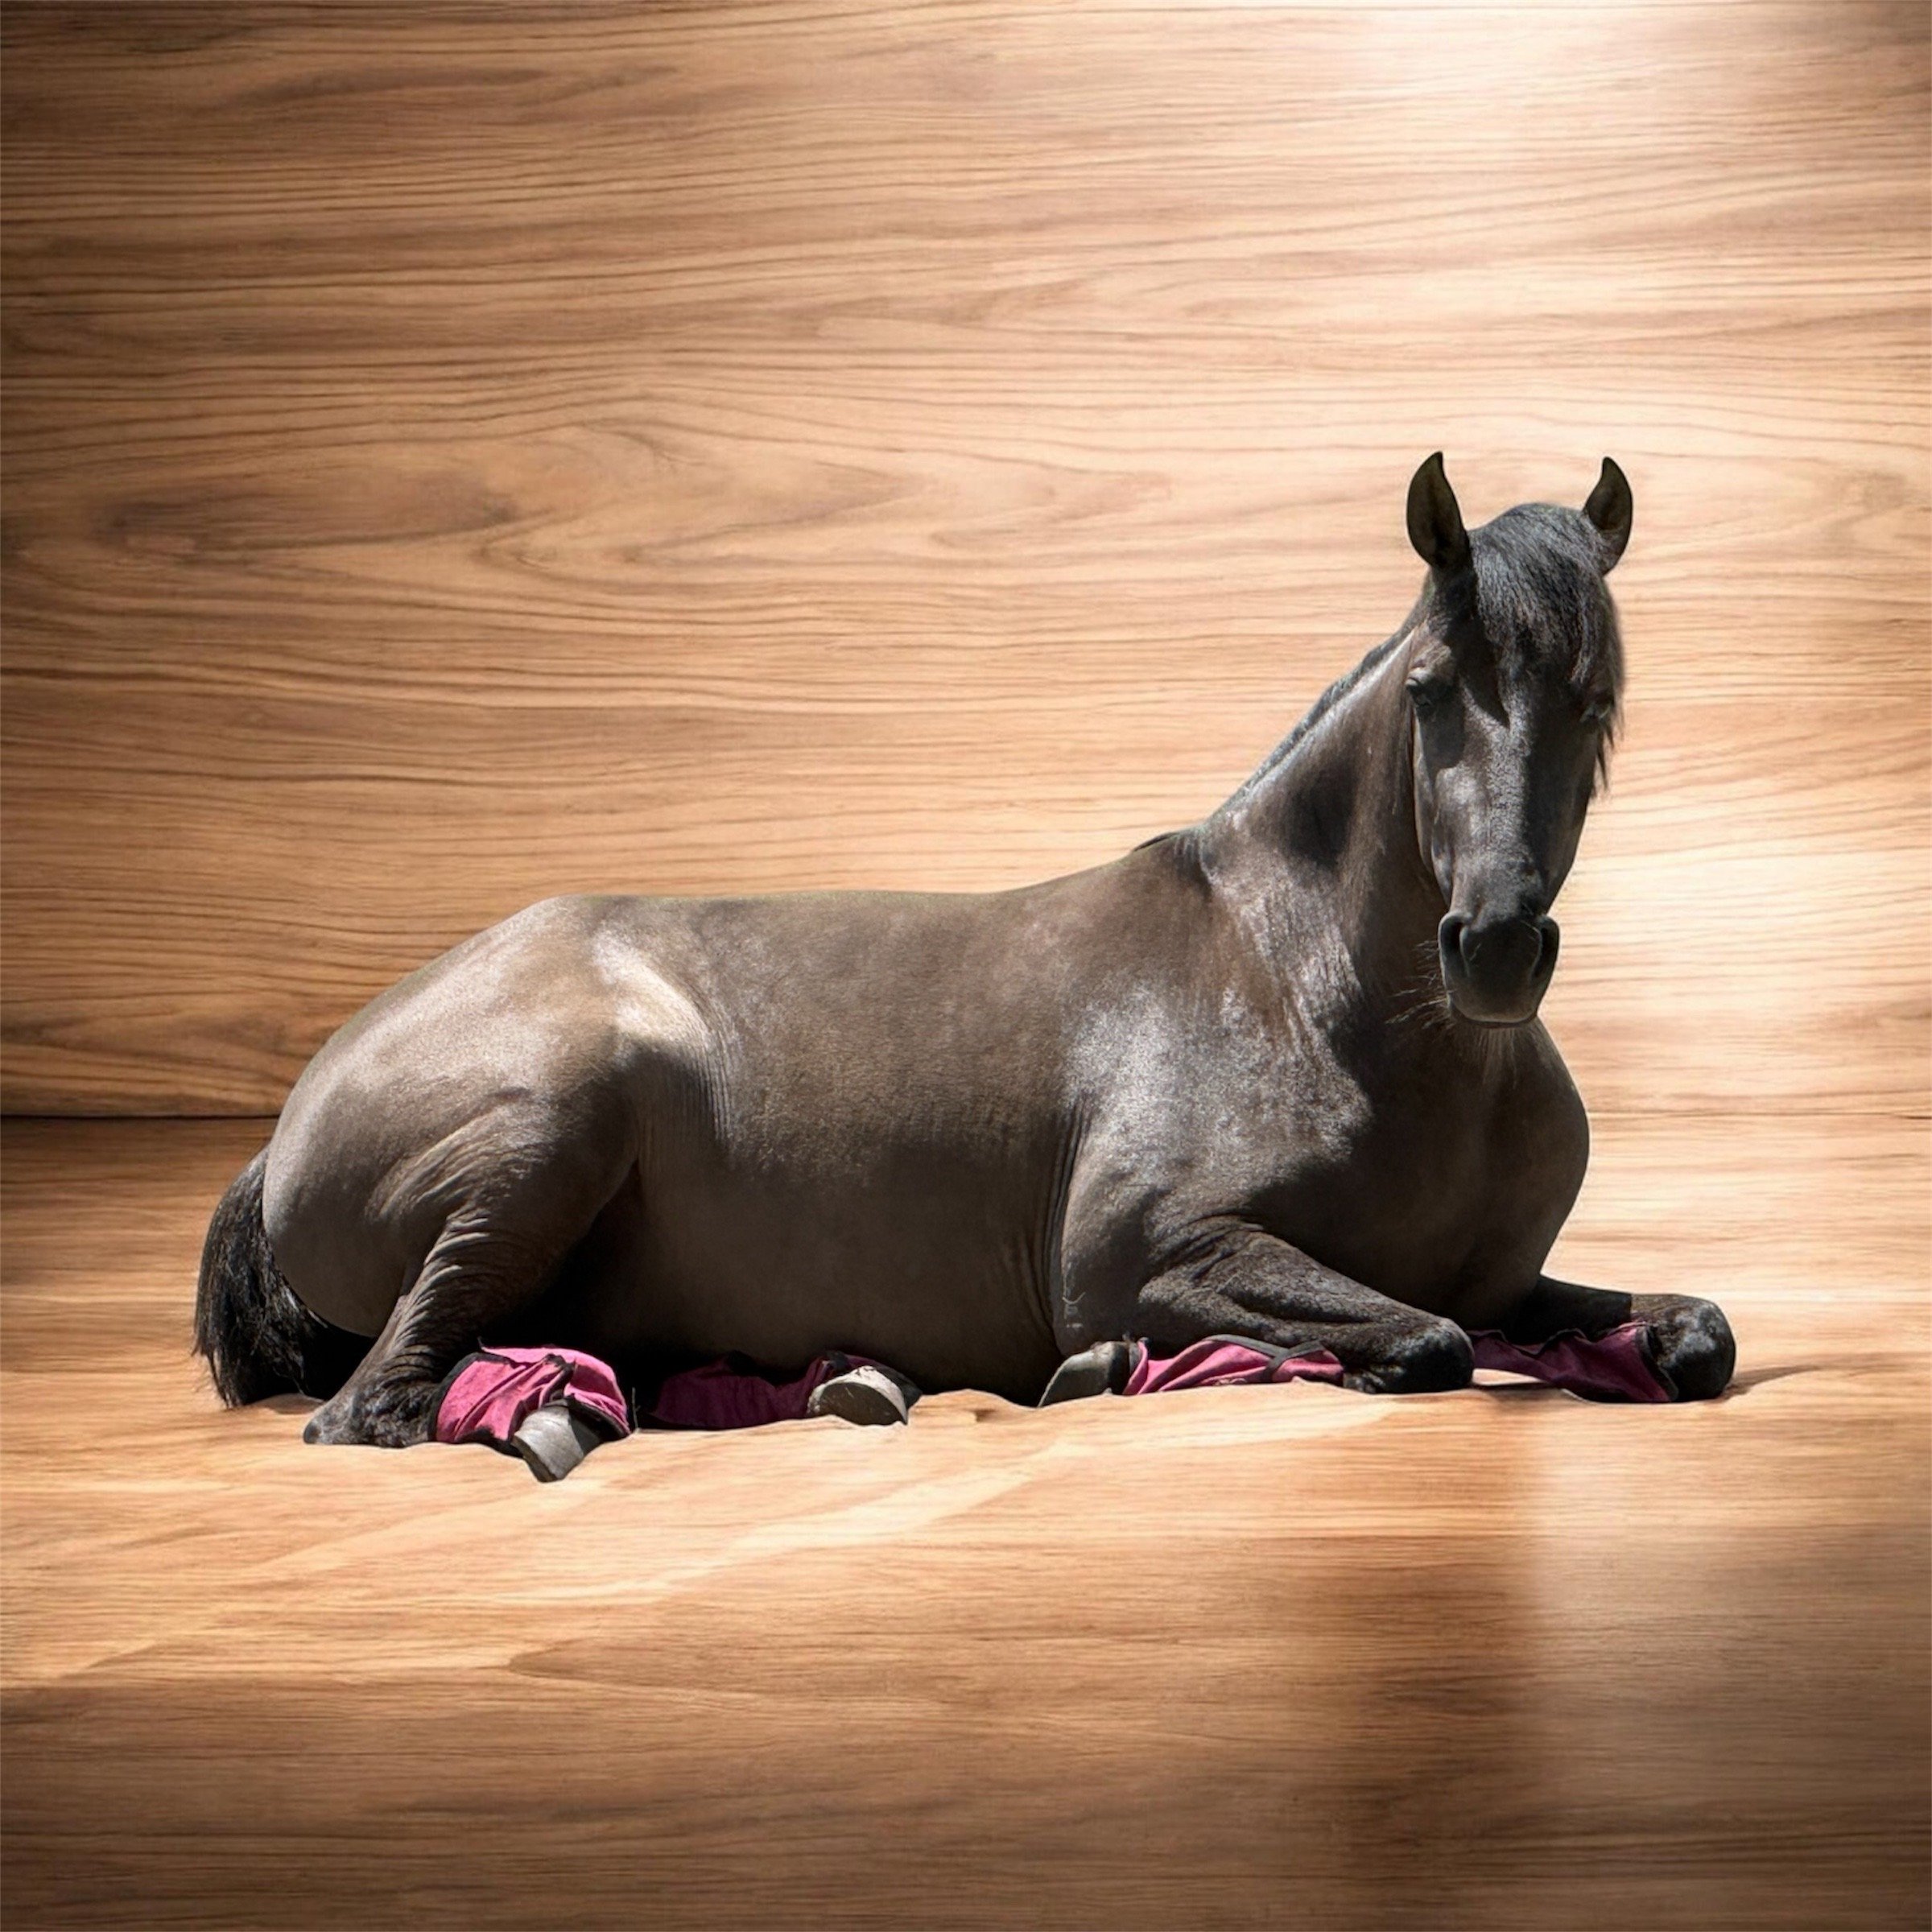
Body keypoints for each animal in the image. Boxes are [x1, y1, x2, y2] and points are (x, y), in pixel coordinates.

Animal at [195, 454, 1736, 1447]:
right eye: (1428, 691)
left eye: (1596, 701)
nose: (1494, 949)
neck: (1307, 995)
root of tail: (299, 1112)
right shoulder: (1145, 1249)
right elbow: (1425, 1338)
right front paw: (1192, 1363)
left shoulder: (1503, 1278)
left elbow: (1682, 1330)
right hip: (549, 1132)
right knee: (381, 1401)